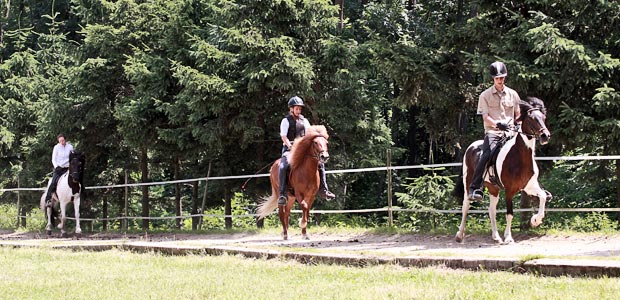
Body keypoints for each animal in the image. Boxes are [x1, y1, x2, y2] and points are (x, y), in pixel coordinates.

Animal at [456, 97, 552, 245]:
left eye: (543, 117)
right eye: (531, 119)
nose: (545, 136)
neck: (519, 157)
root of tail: (471, 147)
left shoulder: (529, 186)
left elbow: (542, 196)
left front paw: (535, 220)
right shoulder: (509, 190)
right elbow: (510, 214)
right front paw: (508, 237)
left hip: (493, 188)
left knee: (491, 210)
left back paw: (496, 237)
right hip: (468, 185)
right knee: (465, 206)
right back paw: (460, 235)